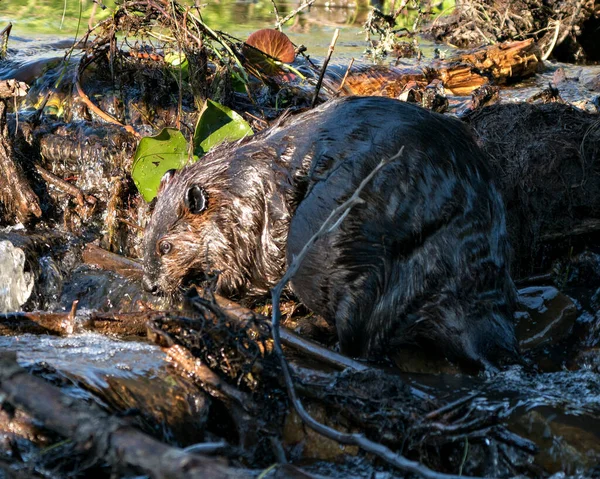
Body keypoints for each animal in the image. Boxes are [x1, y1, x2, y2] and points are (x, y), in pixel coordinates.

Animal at [143, 95, 516, 370]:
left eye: (165, 246)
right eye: (144, 236)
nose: (149, 286)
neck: (234, 177)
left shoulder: (245, 217)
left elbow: (239, 274)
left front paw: (207, 287)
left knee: (361, 336)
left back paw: (314, 331)